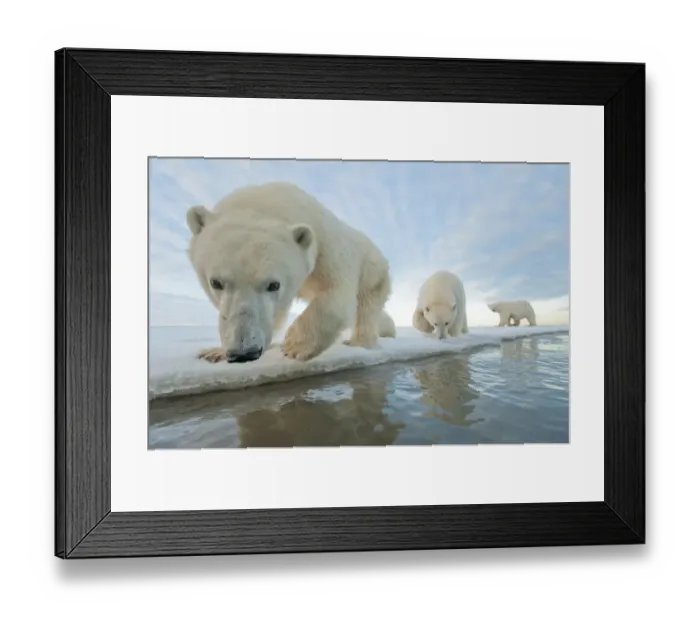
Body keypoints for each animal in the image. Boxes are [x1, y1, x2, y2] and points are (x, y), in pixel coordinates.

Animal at [185, 181, 392, 363]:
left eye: (274, 284)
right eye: (215, 282)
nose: (244, 352)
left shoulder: (326, 247)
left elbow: (337, 294)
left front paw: (295, 345)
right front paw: (214, 352)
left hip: (373, 271)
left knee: (367, 307)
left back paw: (360, 342)